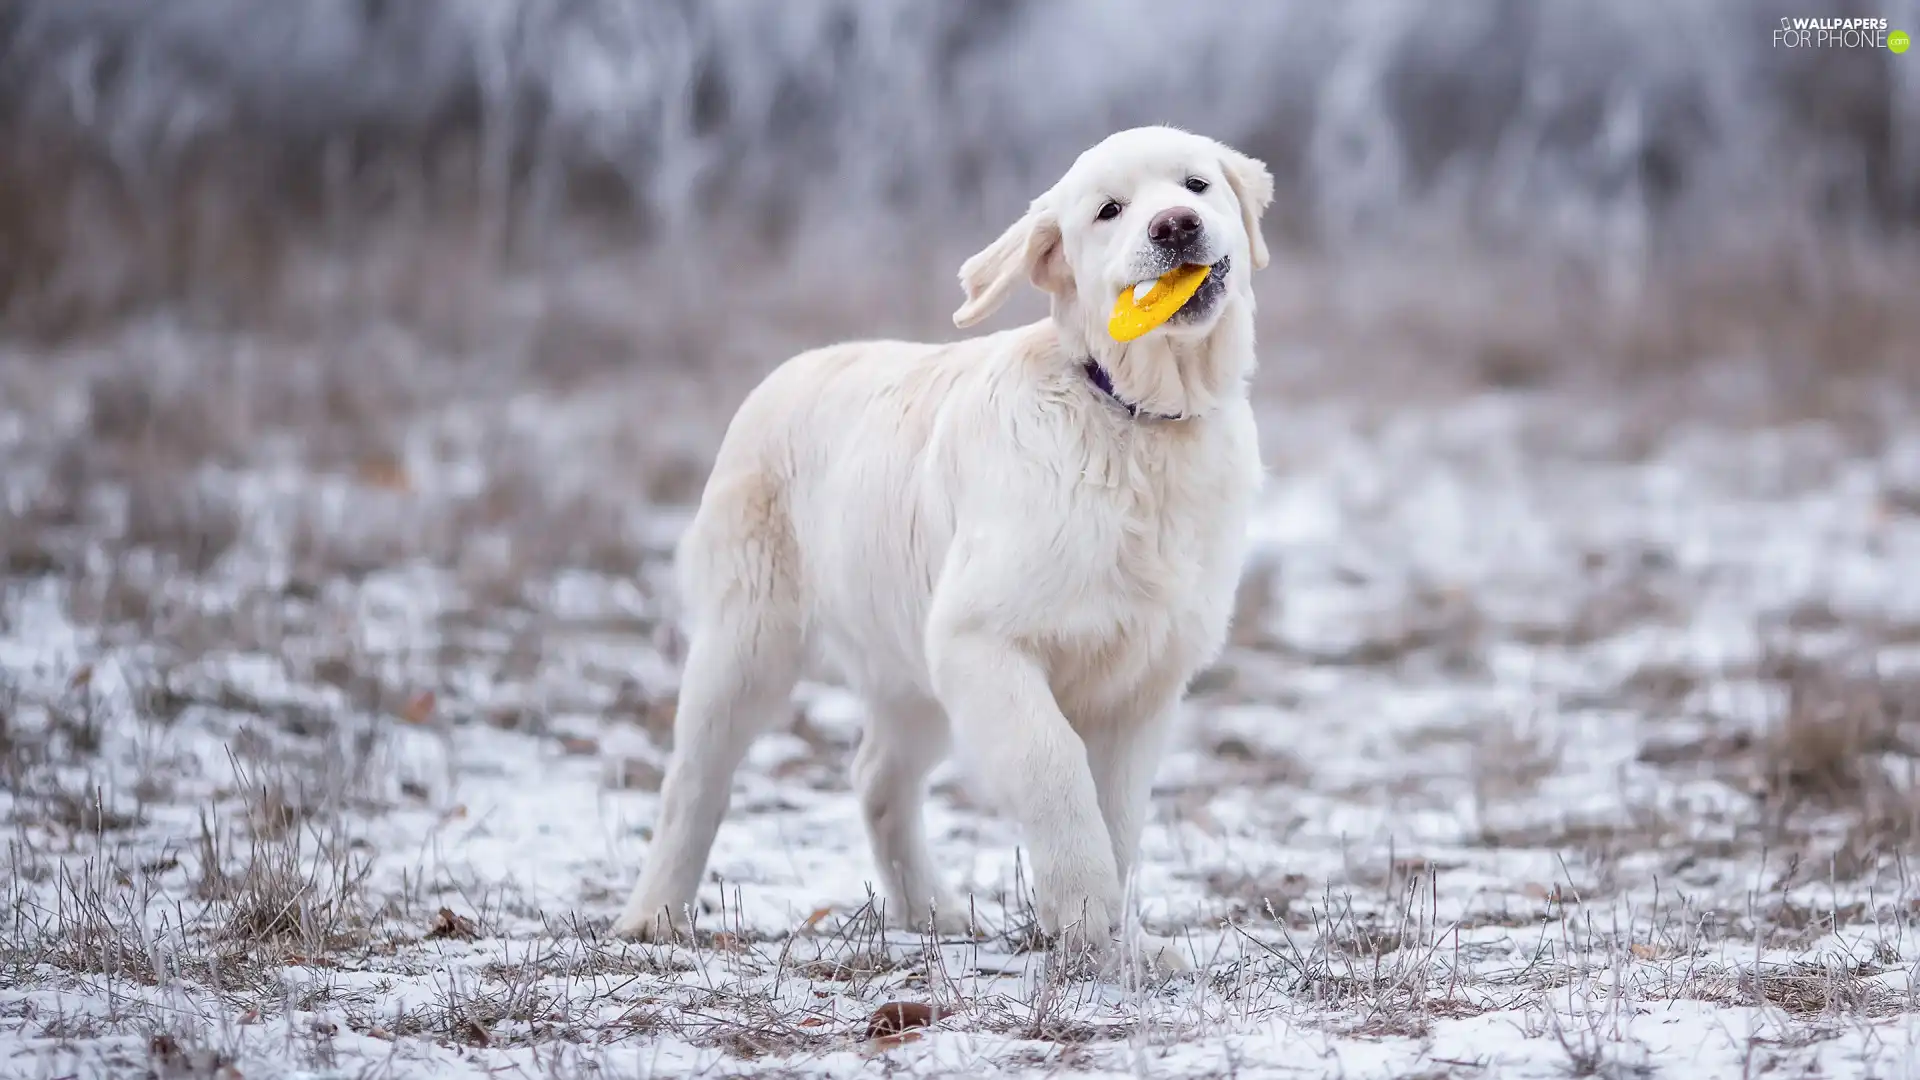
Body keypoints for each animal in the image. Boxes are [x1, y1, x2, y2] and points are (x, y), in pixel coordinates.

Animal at [618, 127, 1274, 968]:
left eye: (1195, 186)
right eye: (1109, 211)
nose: (1175, 226)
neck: (1133, 421)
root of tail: (786, 371)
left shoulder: (1144, 678)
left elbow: (1121, 815)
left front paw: (1122, 946)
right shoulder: (980, 640)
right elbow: (1054, 765)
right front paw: (1084, 909)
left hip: (907, 665)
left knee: (877, 777)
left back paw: (929, 910)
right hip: (747, 644)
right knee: (695, 781)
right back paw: (655, 915)